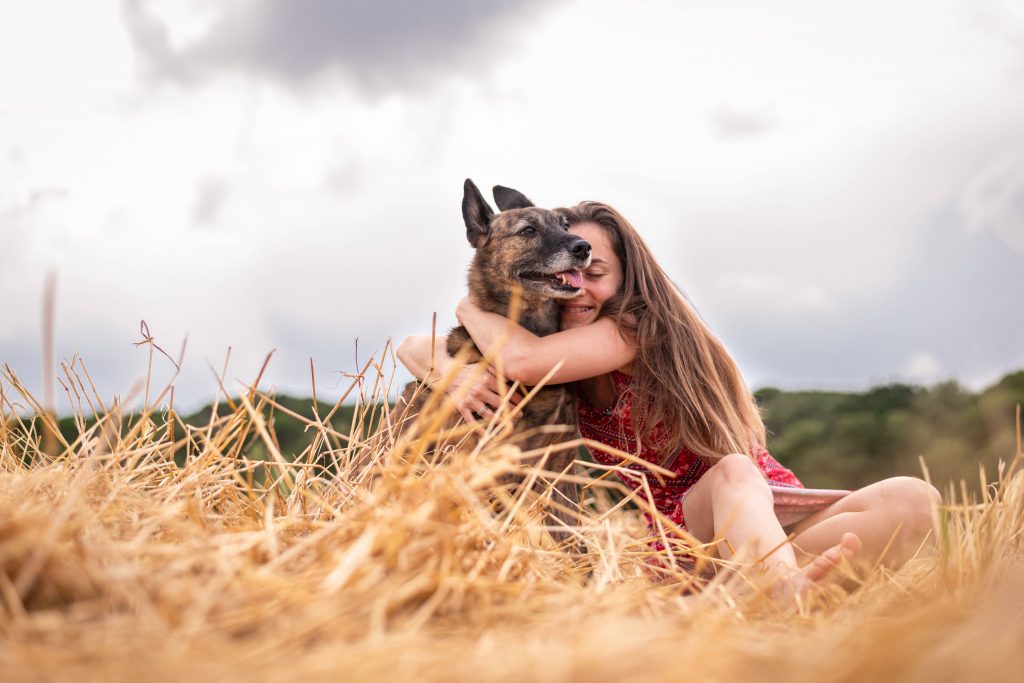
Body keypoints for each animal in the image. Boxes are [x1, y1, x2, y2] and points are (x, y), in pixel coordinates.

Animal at [395, 179, 598, 540]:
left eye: (564, 225)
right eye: (528, 230)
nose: (584, 247)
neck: (531, 334)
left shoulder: (560, 469)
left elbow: (574, 542)